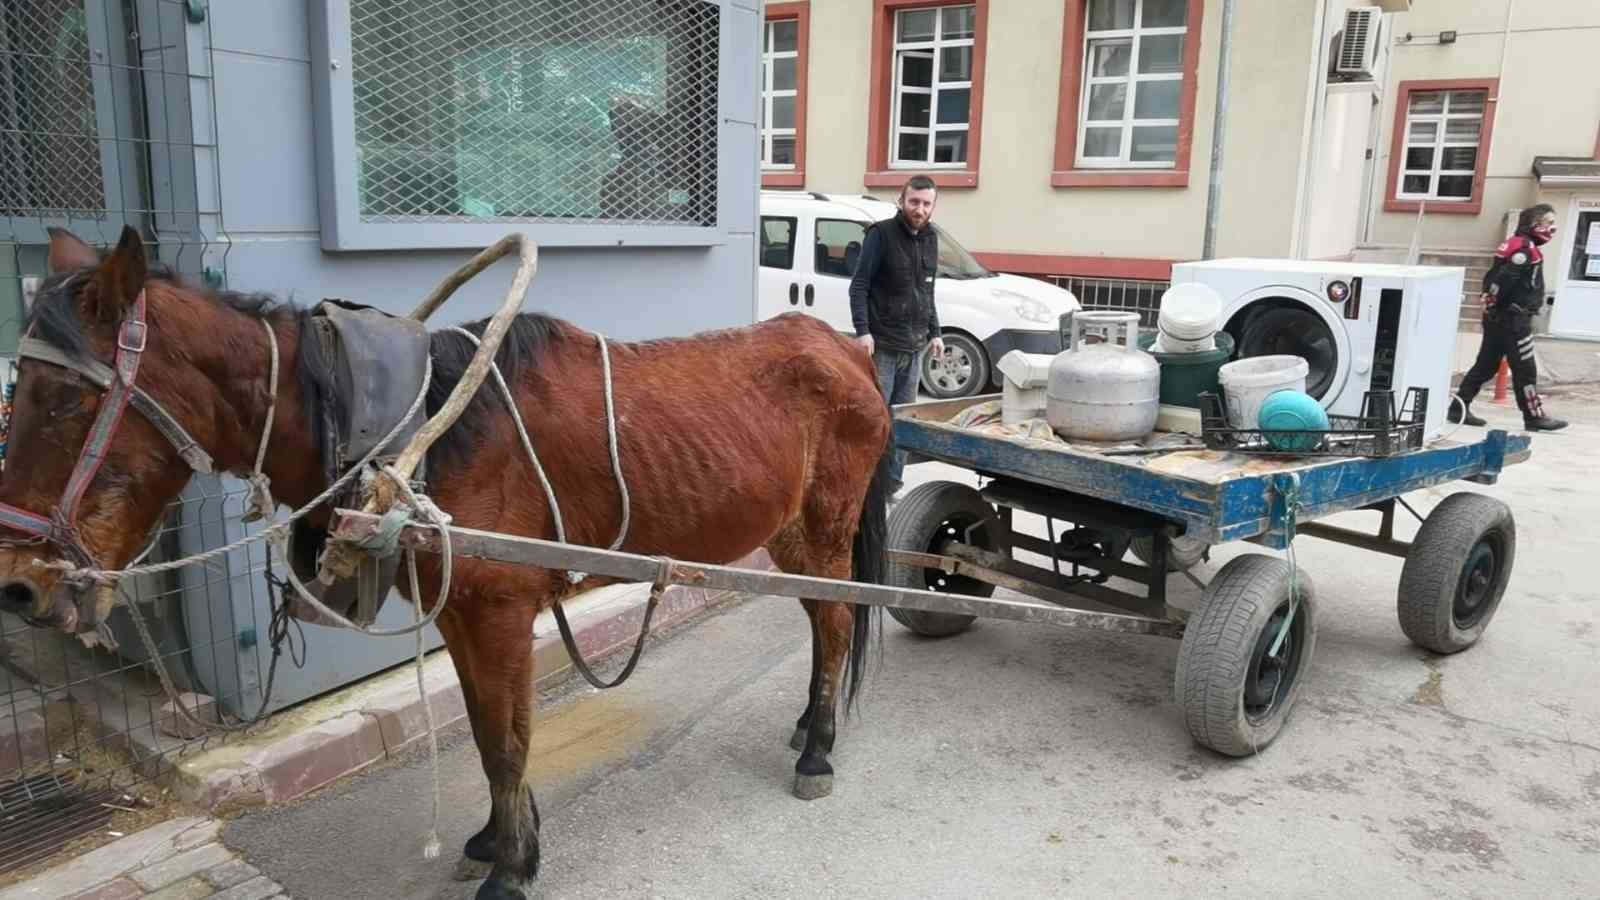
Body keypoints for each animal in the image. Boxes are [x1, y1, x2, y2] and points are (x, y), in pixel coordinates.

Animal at [0, 229, 889, 896]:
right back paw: (809, 723)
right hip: (790, 535)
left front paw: (513, 870)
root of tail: (847, 348)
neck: (417, 432)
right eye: (23, 391)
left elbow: (506, 741)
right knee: (822, 617)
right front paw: (500, 840)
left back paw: (818, 749)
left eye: (67, 401)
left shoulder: (497, 613)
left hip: (825, 525)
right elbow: (485, 732)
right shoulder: (461, 614)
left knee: (839, 620)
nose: (18, 585)